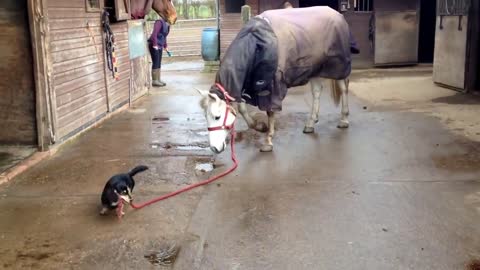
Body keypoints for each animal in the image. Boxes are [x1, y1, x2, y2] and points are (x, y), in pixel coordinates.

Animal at [197, 6, 354, 154]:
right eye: (205, 116)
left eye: (217, 117)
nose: (214, 148)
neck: (256, 45)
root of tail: (338, 15)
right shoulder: (246, 84)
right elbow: (241, 108)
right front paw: (259, 127)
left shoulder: (273, 86)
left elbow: (270, 112)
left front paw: (268, 142)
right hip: (314, 69)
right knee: (317, 92)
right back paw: (310, 124)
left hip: (339, 66)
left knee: (343, 88)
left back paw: (344, 120)